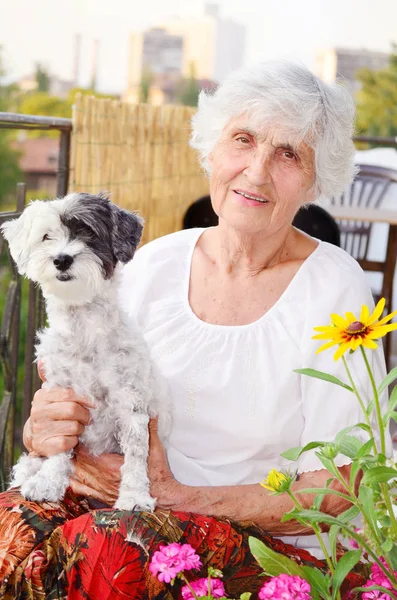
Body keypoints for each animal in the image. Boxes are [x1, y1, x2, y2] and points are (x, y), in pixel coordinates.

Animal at [0, 192, 170, 510]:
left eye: (88, 233)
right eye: (46, 236)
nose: (62, 259)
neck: (85, 332)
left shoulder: (130, 400)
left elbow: (136, 452)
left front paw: (134, 495)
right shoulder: (63, 398)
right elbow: (59, 447)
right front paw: (49, 481)